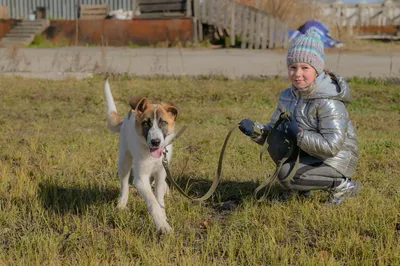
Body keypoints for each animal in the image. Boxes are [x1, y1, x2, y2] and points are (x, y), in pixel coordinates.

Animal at [104, 79, 178, 233]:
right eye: (146, 123)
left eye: (163, 122)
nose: (155, 142)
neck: (151, 154)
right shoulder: (141, 179)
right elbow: (152, 202)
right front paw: (162, 225)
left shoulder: (161, 171)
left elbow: (158, 197)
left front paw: (163, 215)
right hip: (124, 161)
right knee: (124, 185)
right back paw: (121, 204)